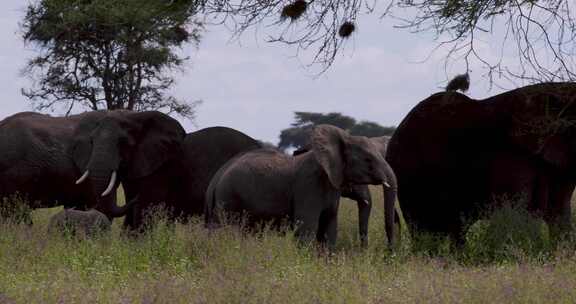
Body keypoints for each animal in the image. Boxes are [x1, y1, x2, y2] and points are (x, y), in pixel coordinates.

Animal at [205, 124, 398, 249]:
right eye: (368, 160)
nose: (390, 251)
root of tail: (216, 178)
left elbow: (329, 228)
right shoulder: (308, 185)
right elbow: (307, 229)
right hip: (229, 198)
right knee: (226, 230)